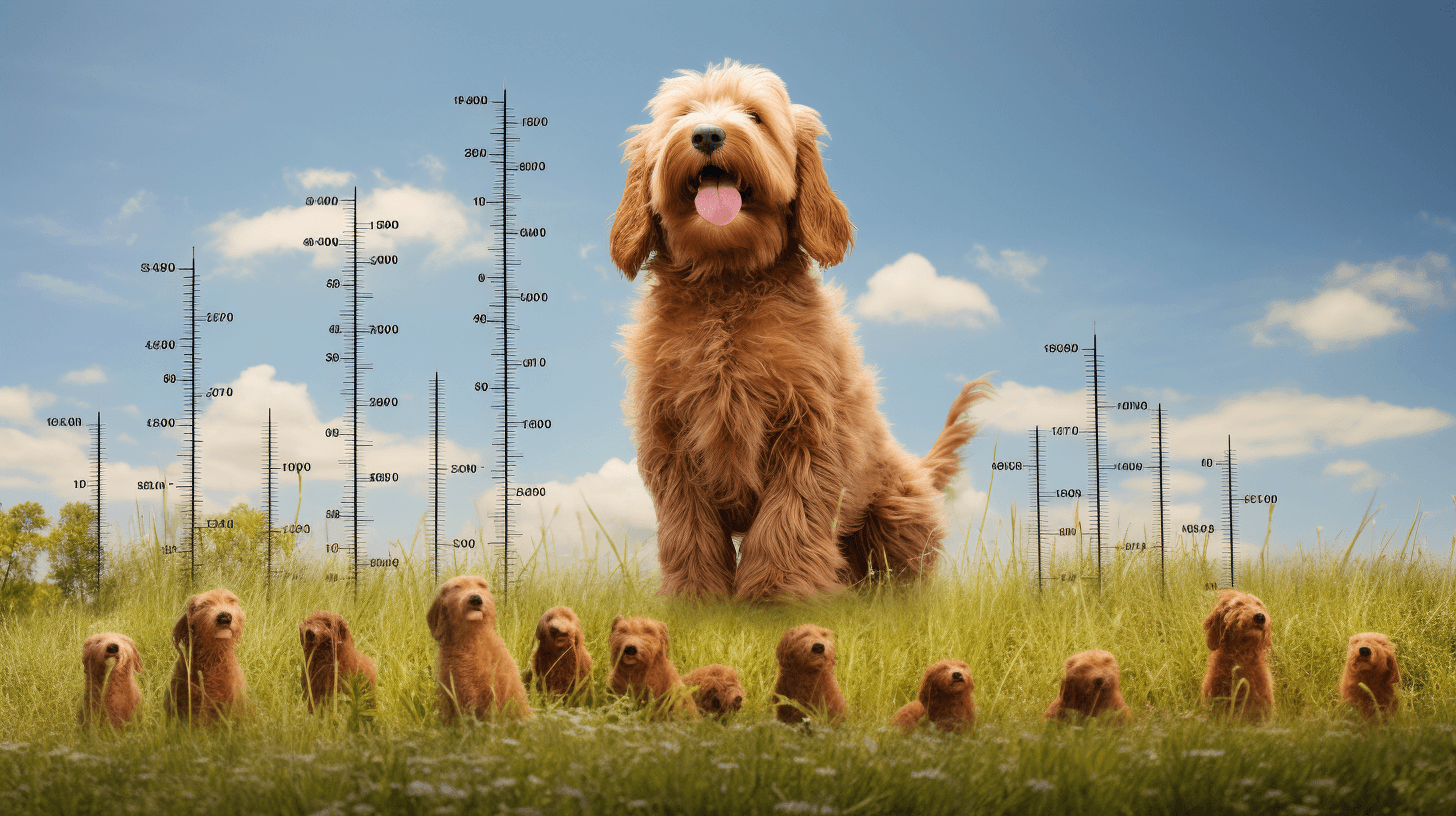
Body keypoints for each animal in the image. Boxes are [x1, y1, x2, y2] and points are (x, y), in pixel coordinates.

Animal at [608, 60, 995, 600]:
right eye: (682, 115)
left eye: (755, 115)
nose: (706, 134)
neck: (727, 282)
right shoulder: (670, 437)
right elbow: (688, 527)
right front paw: (697, 599)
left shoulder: (809, 429)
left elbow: (788, 518)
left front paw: (778, 596)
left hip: (895, 509)